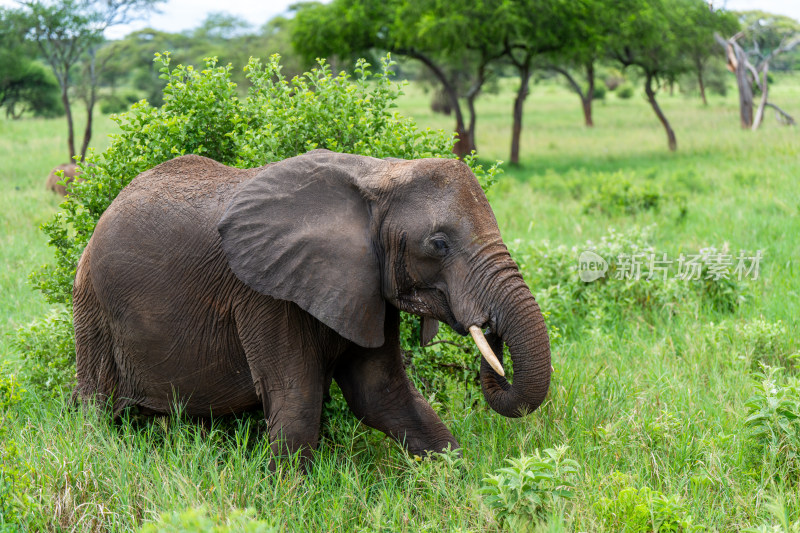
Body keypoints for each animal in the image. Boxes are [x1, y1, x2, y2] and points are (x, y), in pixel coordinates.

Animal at [73, 148, 552, 460]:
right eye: (438, 243)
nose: (489, 330)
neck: (378, 174)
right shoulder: (264, 293)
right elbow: (298, 399)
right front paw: (290, 499)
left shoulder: (366, 287)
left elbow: (383, 395)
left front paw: (456, 478)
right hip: (91, 302)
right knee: (97, 405)